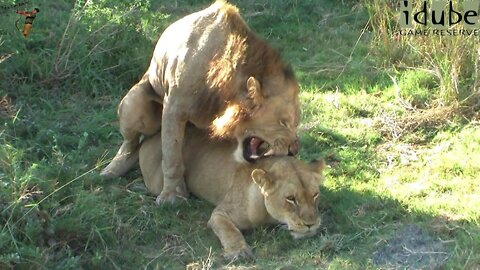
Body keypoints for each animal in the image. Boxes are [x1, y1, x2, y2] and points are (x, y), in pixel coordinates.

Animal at [101, 0, 300, 202]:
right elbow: (171, 154)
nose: (294, 151)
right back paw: (112, 169)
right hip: (134, 103)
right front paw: (172, 195)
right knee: (132, 142)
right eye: (284, 122)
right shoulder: (173, 108)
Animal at [141, 127, 324, 260]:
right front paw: (239, 251)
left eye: (315, 195)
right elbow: (230, 231)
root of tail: (153, 136)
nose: (311, 224)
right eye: (290, 199)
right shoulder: (220, 214)